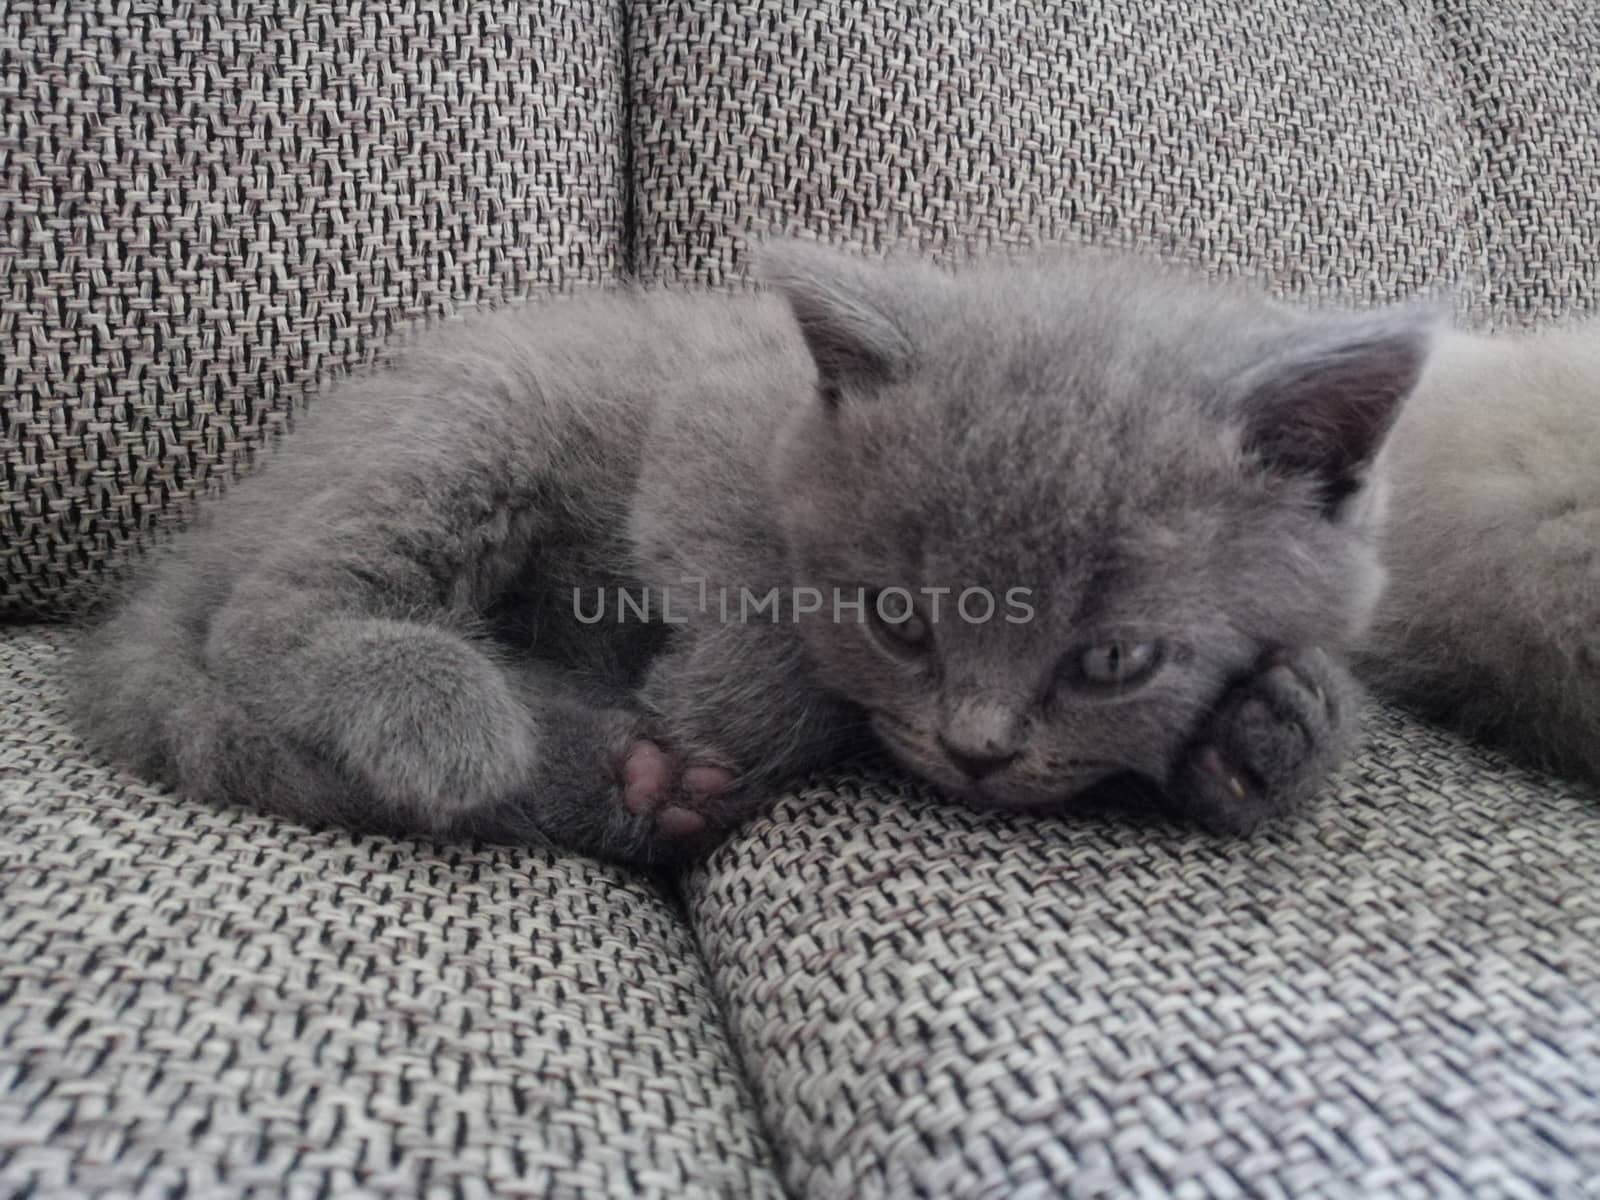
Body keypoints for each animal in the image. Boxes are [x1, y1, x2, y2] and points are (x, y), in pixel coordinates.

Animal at [72, 241, 1440, 864]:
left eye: (1112, 661)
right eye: (901, 622)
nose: (979, 752)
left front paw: (1278, 726)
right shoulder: (711, 424)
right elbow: (751, 596)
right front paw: (719, 709)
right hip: (472, 425)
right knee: (267, 616)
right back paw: (462, 716)